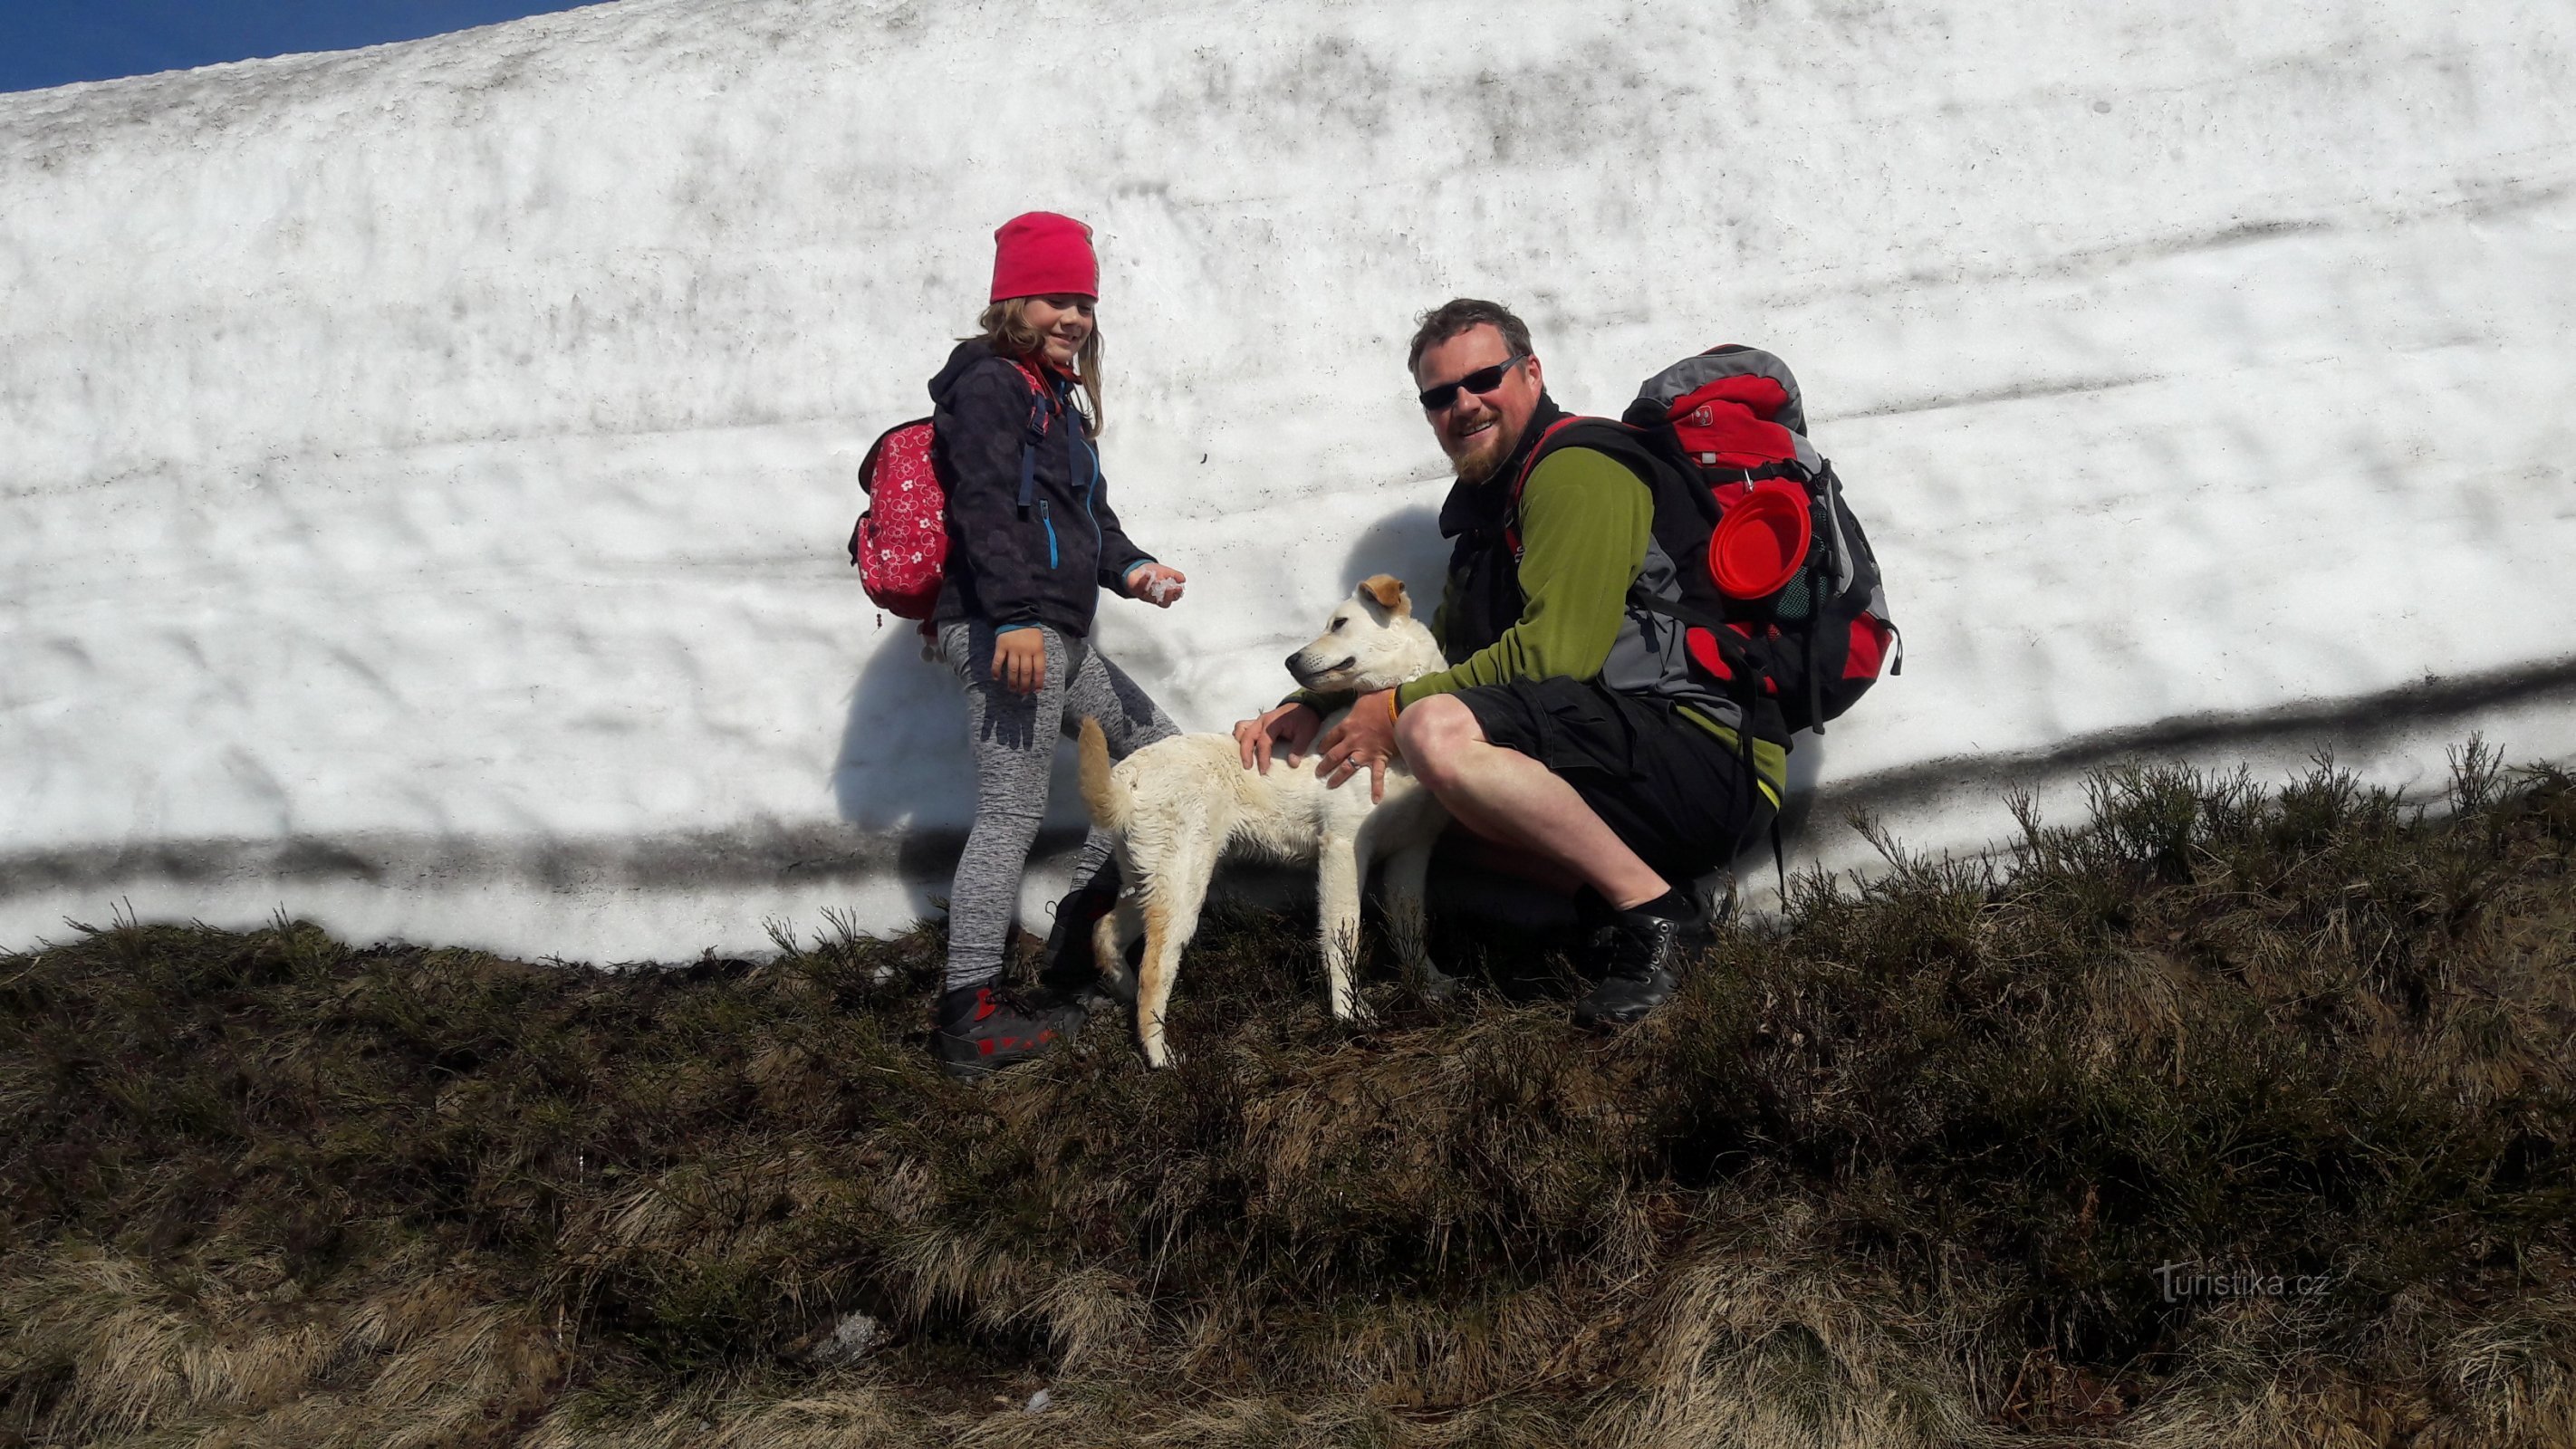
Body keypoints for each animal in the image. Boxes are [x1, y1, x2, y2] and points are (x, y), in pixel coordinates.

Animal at [1072, 576, 1453, 1065]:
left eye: (1340, 623)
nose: (1289, 660)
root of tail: (1127, 776)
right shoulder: (1343, 848)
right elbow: (1343, 935)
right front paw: (1349, 1012)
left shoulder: (1412, 852)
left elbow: (1410, 927)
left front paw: (1428, 982)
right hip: (1182, 888)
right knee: (1154, 971)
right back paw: (1161, 1057)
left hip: (1154, 881)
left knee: (1105, 932)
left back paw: (1122, 991)